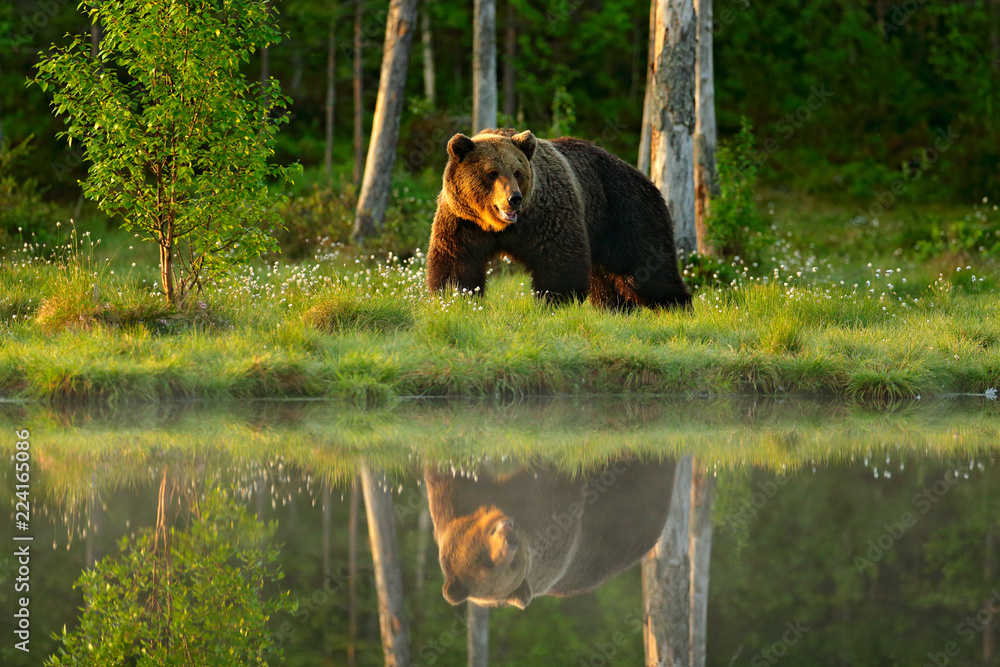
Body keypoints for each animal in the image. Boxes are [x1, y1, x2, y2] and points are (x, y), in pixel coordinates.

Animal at [425, 128, 692, 310]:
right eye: (492, 173)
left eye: (517, 172)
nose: (514, 199)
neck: (499, 227)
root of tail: (643, 176)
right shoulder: (462, 221)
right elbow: (456, 263)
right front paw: (454, 296)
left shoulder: (546, 215)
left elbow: (558, 259)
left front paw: (555, 300)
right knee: (605, 279)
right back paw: (614, 307)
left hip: (626, 212)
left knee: (647, 268)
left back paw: (676, 305)